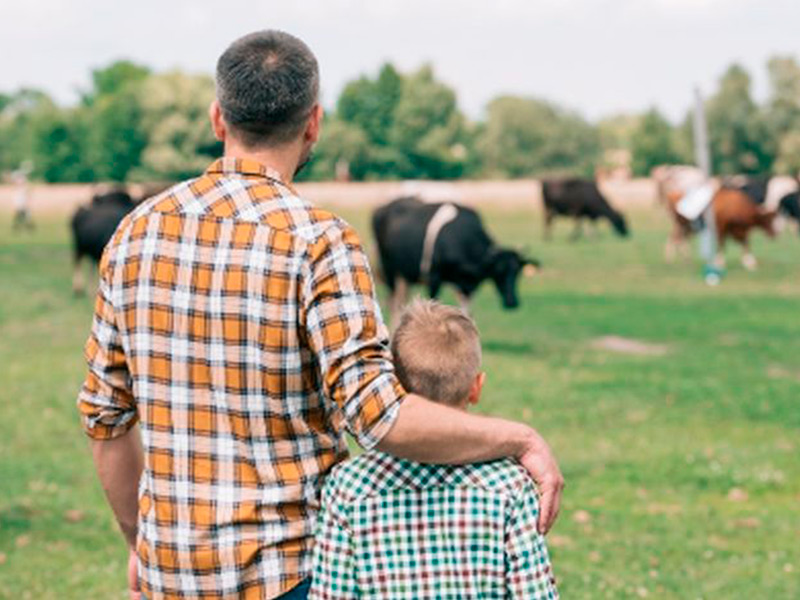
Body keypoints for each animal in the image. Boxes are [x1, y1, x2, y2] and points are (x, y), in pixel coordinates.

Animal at [374, 198, 536, 324]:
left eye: (517, 272)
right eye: (499, 271)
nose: (512, 302)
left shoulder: (467, 286)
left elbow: (467, 314)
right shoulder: (434, 277)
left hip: (404, 276)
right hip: (389, 270)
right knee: (393, 304)